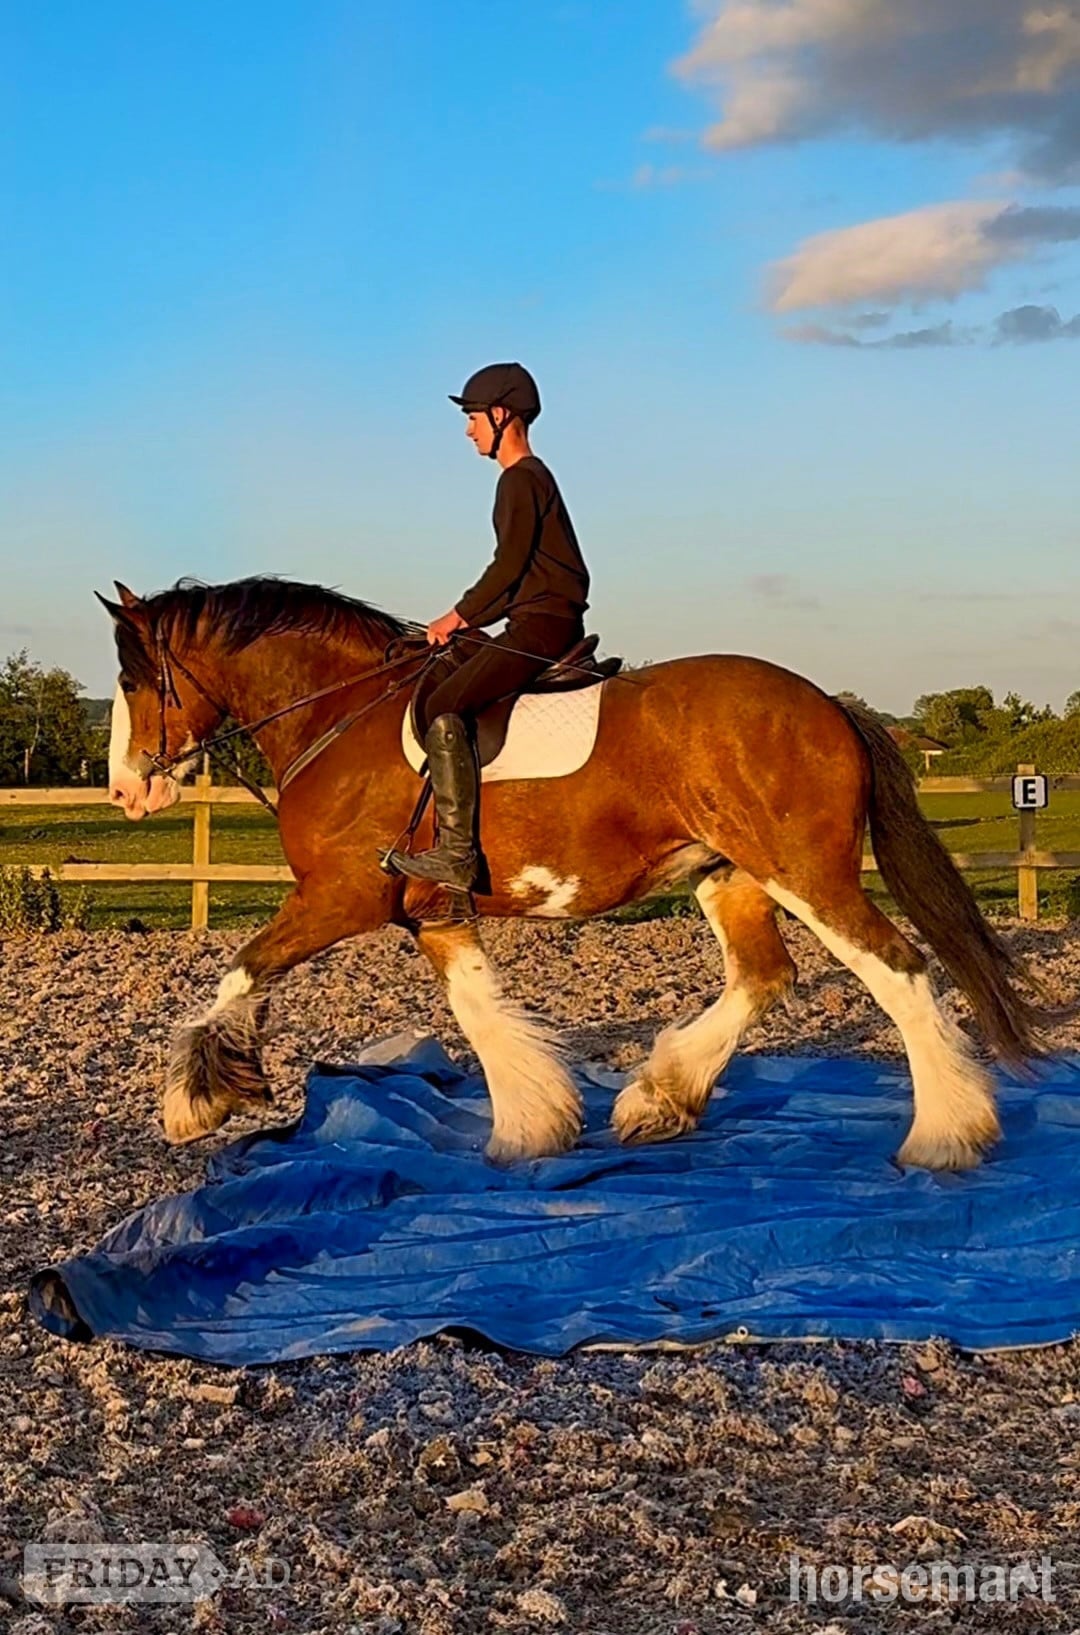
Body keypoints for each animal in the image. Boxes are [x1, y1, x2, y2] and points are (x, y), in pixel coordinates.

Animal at [100, 575, 1056, 1171]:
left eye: (135, 678)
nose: (125, 789)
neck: (341, 713)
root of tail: (832, 705)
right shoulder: (434, 912)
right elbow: (480, 1010)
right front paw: (533, 1125)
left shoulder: (341, 896)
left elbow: (240, 969)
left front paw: (195, 1099)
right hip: (729, 872)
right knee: (763, 975)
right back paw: (659, 1099)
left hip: (805, 872)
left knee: (897, 971)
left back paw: (945, 1136)